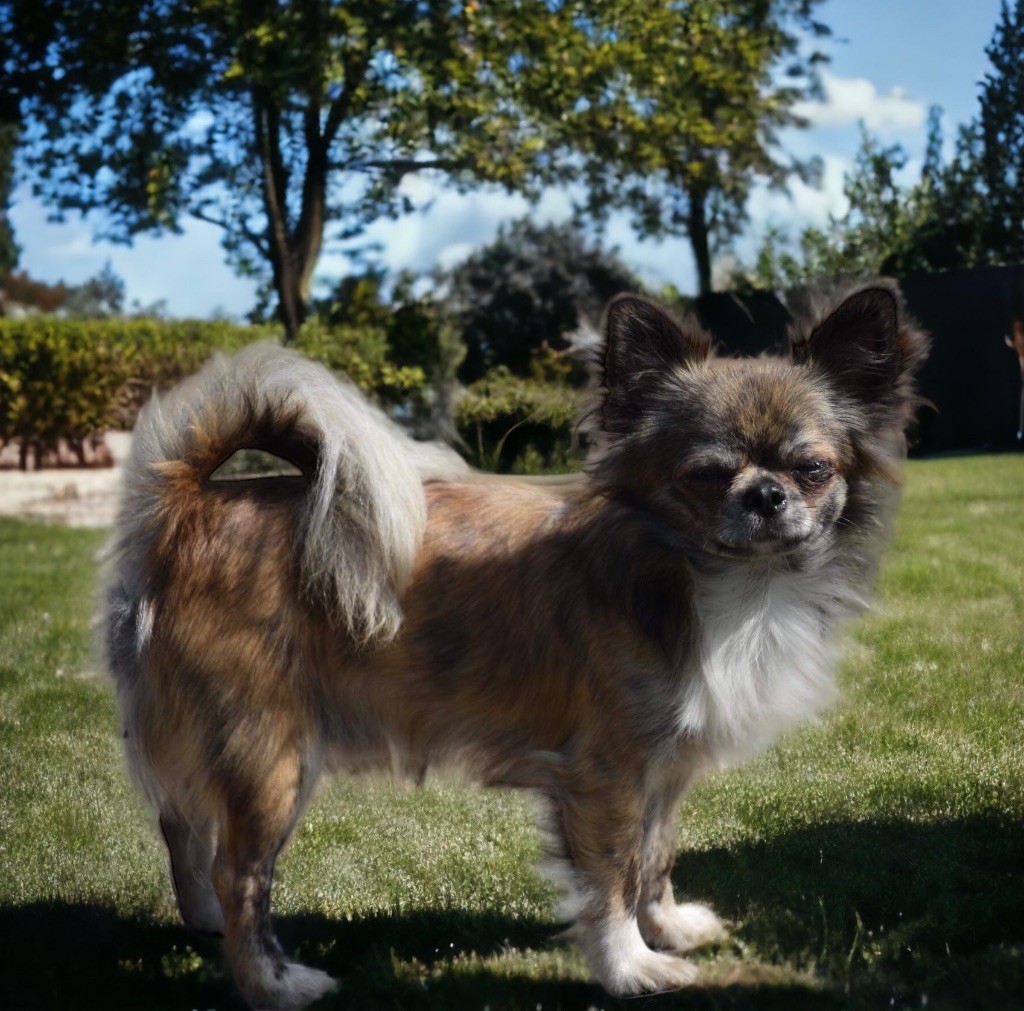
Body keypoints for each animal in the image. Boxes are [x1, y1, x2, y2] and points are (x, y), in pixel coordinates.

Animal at [101, 284, 929, 1011]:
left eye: (813, 470)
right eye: (705, 474)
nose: (765, 495)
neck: (715, 582)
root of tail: (190, 501)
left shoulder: (664, 768)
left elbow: (654, 854)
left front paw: (667, 927)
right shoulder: (606, 772)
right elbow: (611, 873)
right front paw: (630, 966)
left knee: (182, 828)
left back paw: (204, 923)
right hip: (271, 755)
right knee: (241, 874)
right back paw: (274, 984)